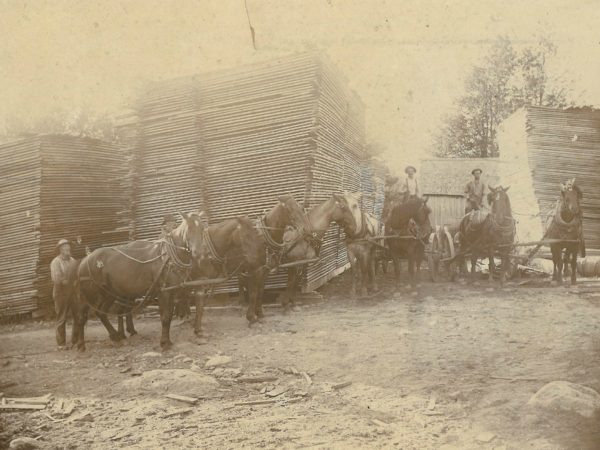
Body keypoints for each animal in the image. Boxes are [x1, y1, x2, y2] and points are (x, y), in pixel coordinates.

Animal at [74, 212, 206, 352]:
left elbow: (169, 316)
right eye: (189, 229)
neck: (168, 257)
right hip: (90, 295)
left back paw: (115, 336)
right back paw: (81, 344)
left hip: (109, 293)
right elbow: (165, 318)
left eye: (202, 228)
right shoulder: (163, 292)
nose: (199, 253)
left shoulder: (172, 292)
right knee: (82, 316)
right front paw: (164, 343)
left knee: (101, 313)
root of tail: (84, 260)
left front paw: (168, 341)